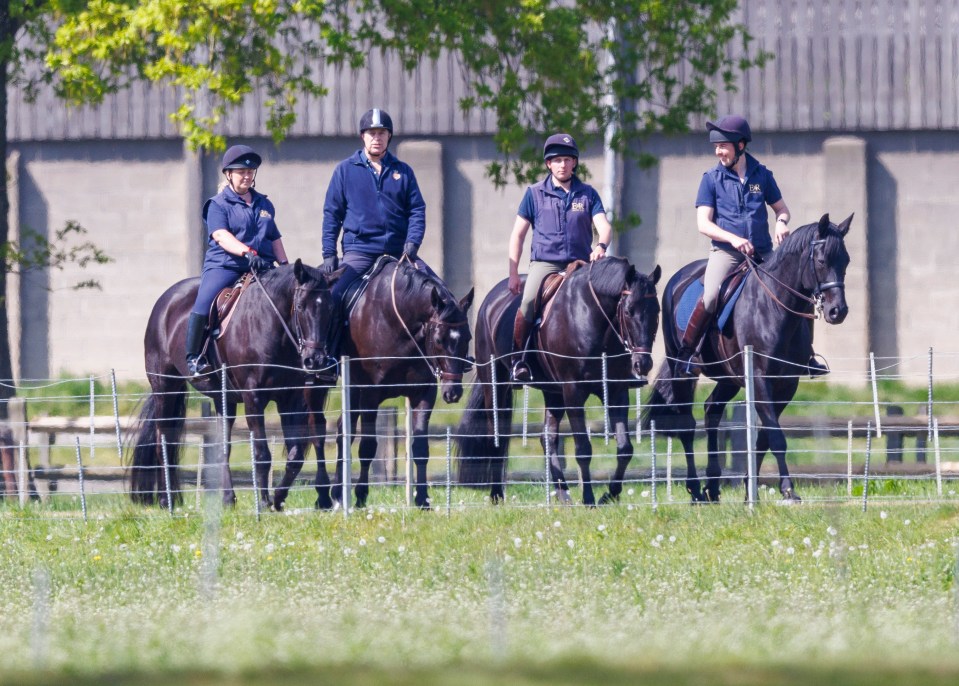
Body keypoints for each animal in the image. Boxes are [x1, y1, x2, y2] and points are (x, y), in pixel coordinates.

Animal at [127, 262, 338, 510]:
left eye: (331, 309)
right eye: (301, 306)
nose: (316, 360)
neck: (272, 323)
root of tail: (165, 301)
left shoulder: (290, 399)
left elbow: (295, 456)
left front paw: (277, 498)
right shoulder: (253, 397)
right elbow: (261, 454)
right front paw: (263, 502)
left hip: (222, 398)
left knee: (221, 448)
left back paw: (227, 498)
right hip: (165, 387)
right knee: (163, 440)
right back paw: (165, 499)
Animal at [298, 255, 474, 512]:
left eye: (468, 338)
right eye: (440, 339)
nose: (453, 393)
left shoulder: (424, 393)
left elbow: (420, 449)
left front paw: (423, 499)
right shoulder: (370, 394)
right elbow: (368, 447)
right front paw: (361, 495)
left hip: (353, 390)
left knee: (343, 431)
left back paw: (339, 493)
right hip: (317, 382)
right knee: (318, 431)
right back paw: (323, 496)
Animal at [456, 258, 660, 506]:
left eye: (657, 311)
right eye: (629, 311)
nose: (643, 364)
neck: (593, 318)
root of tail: (491, 299)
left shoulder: (616, 390)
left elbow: (625, 448)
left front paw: (609, 495)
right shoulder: (573, 392)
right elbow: (583, 448)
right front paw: (589, 499)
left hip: (553, 393)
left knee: (547, 438)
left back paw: (563, 493)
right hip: (495, 386)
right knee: (497, 435)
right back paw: (497, 494)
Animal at [648, 215, 852, 506]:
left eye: (846, 261)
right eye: (822, 261)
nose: (838, 311)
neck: (774, 309)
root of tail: (679, 277)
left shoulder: (787, 385)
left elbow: (765, 436)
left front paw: (749, 491)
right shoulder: (760, 378)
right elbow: (776, 437)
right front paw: (788, 490)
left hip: (728, 379)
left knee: (712, 410)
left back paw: (712, 486)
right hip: (682, 371)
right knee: (686, 424)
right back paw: (696, 489)